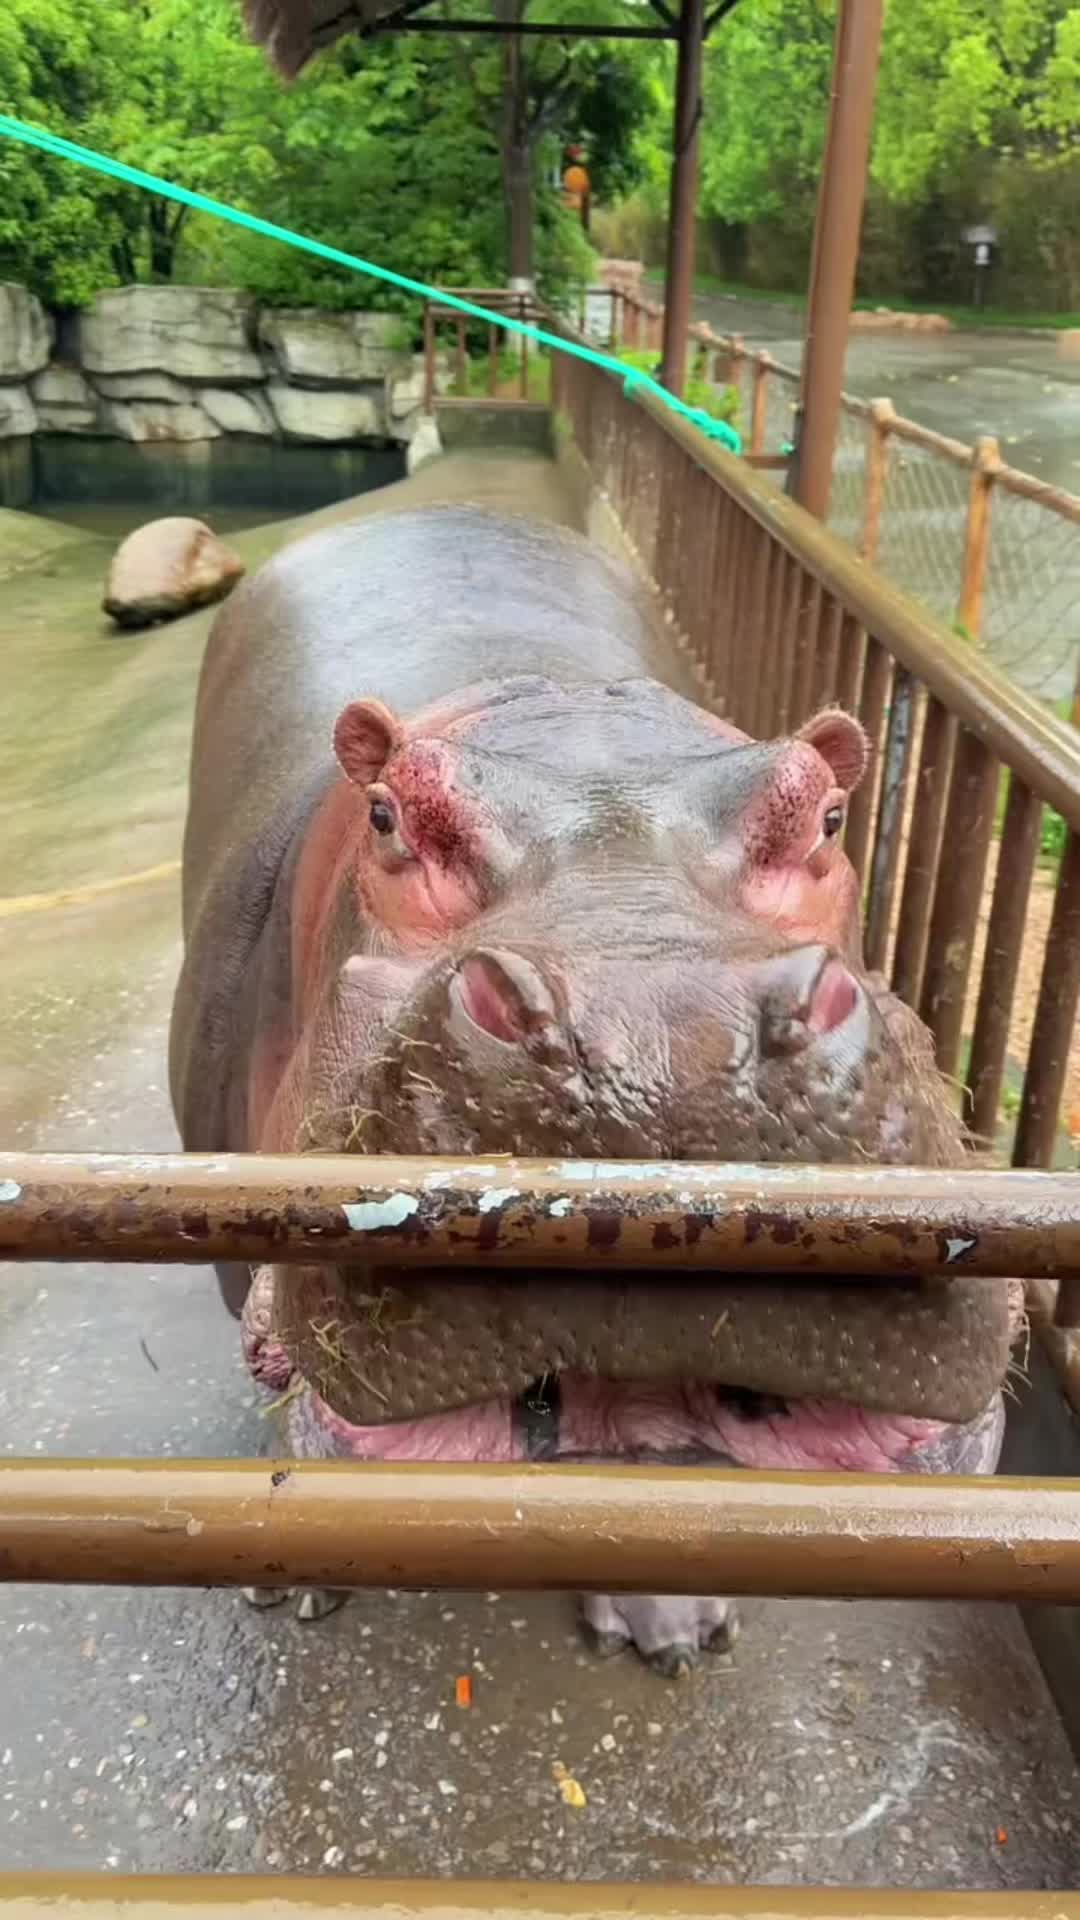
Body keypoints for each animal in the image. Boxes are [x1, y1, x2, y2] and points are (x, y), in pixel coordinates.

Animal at [170, 502, 1016, 1675]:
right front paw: (300, 1579)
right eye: (386, 816)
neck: (549, 706)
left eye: (831, 817)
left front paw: (676, 1626)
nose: (658, 1036)